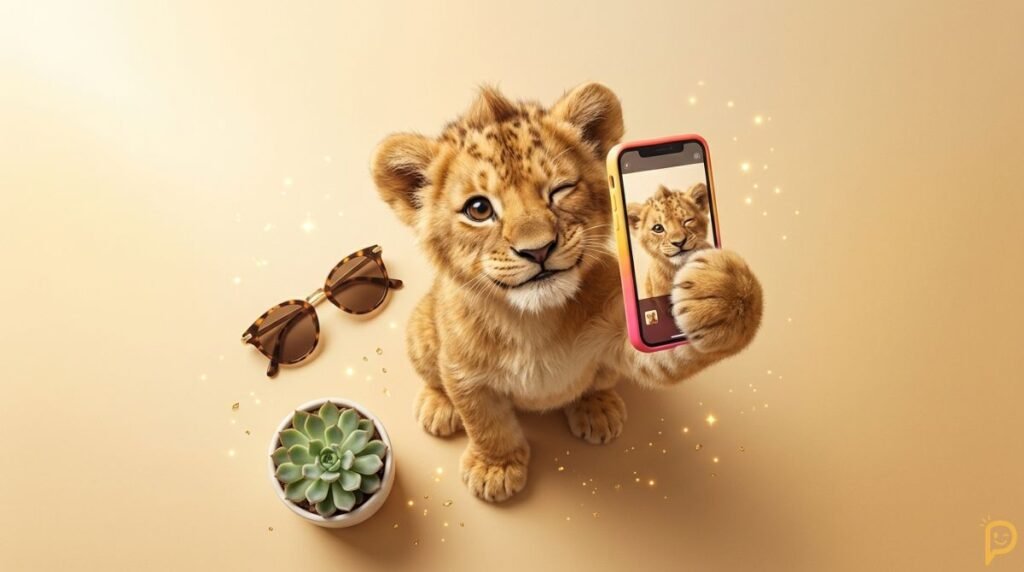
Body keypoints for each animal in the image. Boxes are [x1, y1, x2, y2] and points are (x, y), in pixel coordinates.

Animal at [371, 83, 762, 502]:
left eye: (560, 190)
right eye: (478, 209)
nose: (538, 249)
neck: (532, 321)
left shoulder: (623, 335)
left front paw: (722, 291)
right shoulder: (464, 373)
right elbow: (485, 422)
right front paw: (496, 467)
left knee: (600, 383)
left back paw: (597, 409)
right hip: (422, 331)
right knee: (433, 374)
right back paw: (438, 406)